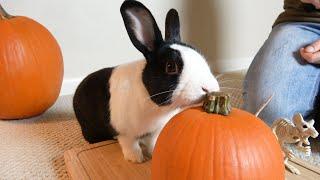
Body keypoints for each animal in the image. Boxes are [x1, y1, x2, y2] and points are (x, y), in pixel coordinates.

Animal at [73, 0, 219, 163]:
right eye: (170, 66)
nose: (208, 88)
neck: (155, 107)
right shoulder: (125, 133)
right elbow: (130, 145)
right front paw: (136, 159)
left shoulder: (155, 131)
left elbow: (152, 142)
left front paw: (153, 152)